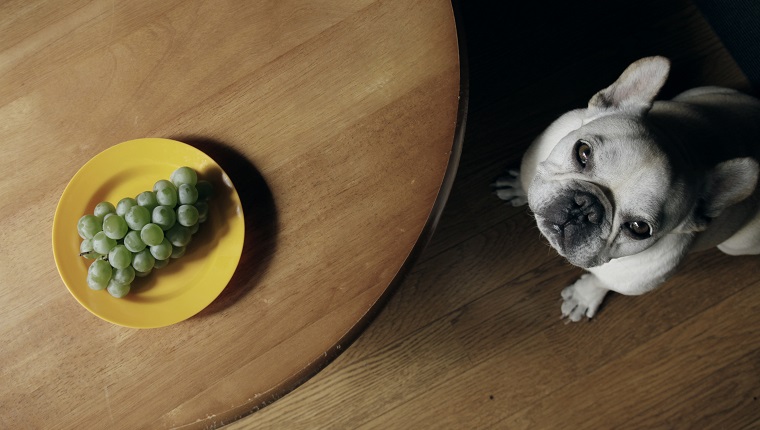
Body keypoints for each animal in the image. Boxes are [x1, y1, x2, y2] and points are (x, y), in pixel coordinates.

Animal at [492, 55, 760, 320]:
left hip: (734, 245)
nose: (585, 209)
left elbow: (602, 283)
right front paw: (516, 186)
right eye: (583, 151)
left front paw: (583, 296)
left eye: (639, 228)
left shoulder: (630, 282)